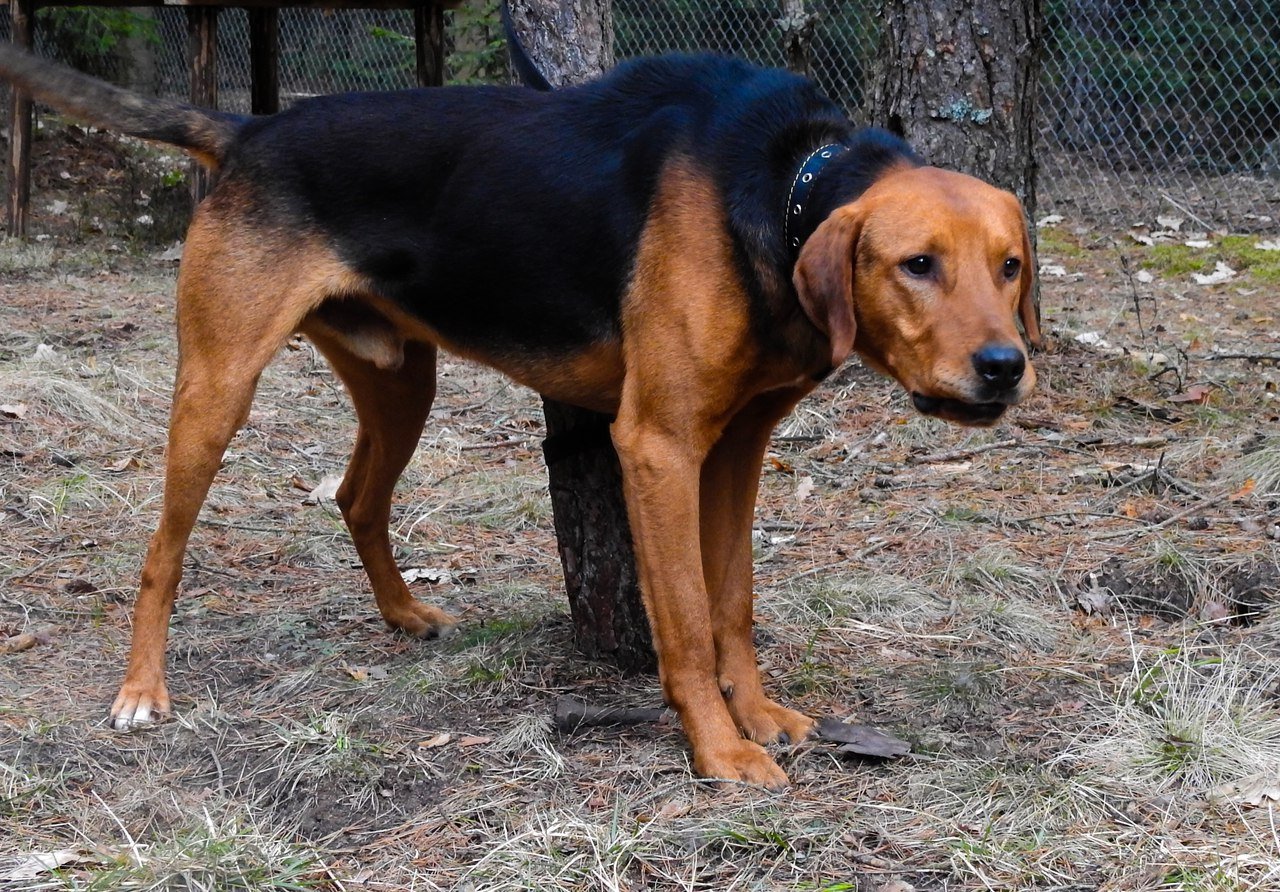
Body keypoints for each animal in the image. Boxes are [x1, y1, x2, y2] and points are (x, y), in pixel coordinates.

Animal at [0, 36, 1039, 788]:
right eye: (916, 265)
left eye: (1011, 266)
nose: (1005, 367)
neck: (787, 185)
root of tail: (252, 128)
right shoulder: (658, 447)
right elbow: (686, 624)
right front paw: (717, 751)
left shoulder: (735, 450)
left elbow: (733, 605)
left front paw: (758, 715)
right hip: (217, 390)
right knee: (161, 555)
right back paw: (143, 689)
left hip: (400, 384)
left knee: (354, 496)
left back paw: (404, 614)